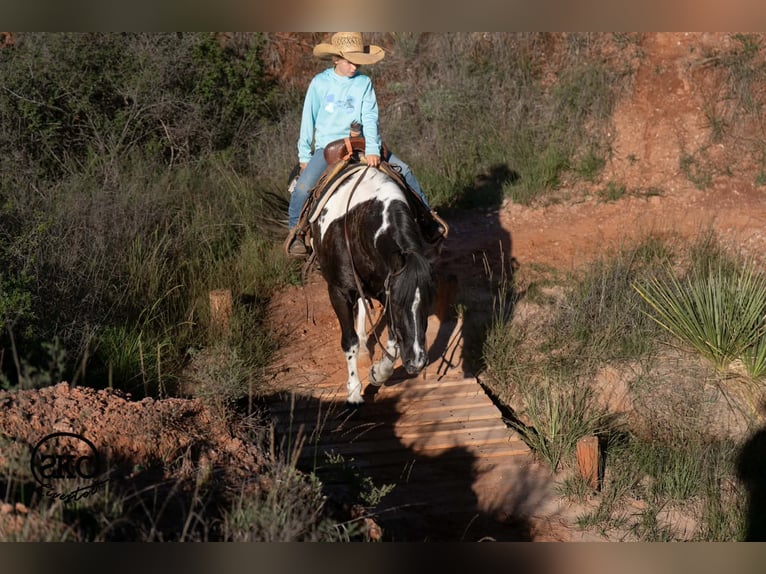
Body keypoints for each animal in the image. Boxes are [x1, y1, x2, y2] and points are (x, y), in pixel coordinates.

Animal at [309, 164, 437, 405]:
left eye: (428, 302)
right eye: (398, 304)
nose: (417, 362)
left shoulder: (385, 288)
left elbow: (394, 340)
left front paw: (378, 373)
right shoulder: (339, 292)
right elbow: (349, 341)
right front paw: (353, 393)